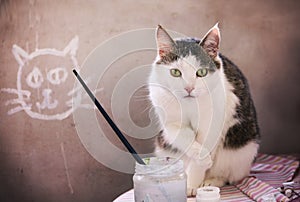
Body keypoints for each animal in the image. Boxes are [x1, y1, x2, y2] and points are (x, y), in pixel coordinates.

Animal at [148, 23, 260, 196]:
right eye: (175, 72)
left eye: (201, 72)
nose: (189, 88)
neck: (189, 105)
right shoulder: (170, 121)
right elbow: (184, 137)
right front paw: (201, 157)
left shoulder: (213, 123)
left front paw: (192, 184)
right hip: (162, 148)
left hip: (241, 152)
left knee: (227, 175)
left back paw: (210, 181)